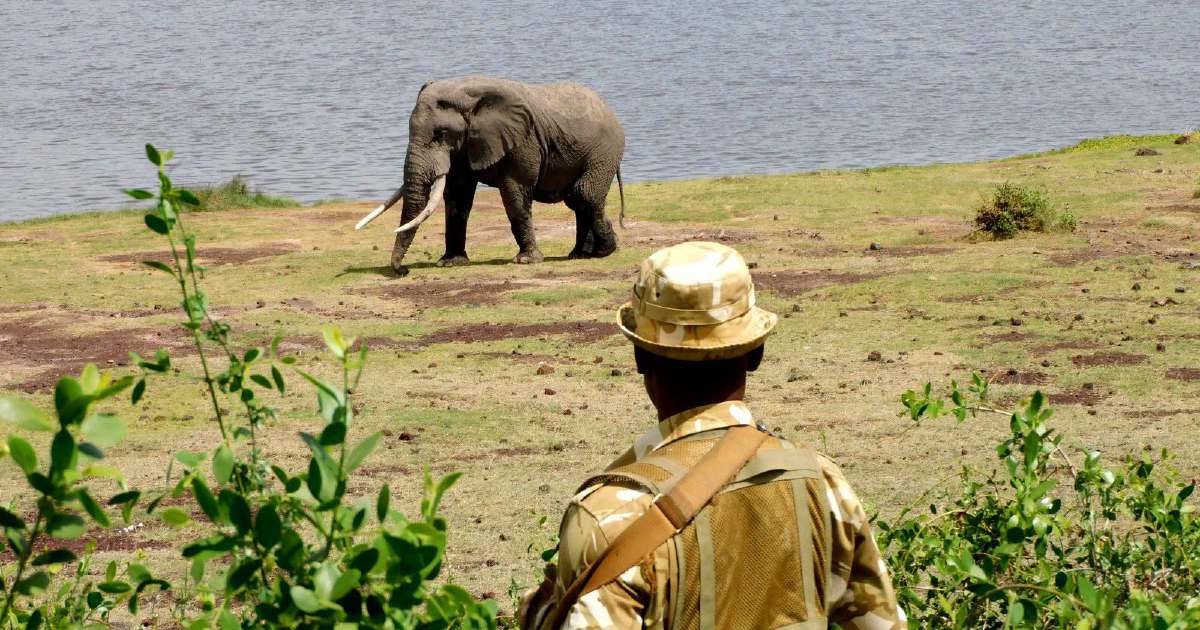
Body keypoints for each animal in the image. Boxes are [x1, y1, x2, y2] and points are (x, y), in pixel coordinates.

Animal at [355, 76, 626, 276]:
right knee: (578, 199)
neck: (466, 95)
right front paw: (451, 263)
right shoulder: (464, 146)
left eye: (440, 134)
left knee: (584, 195)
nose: (403, 271)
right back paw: (581, 254)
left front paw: (527, 261)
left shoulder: (522, 141)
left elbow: (514, 193)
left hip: (604, 151)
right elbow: (458, 197)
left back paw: (605, 250)